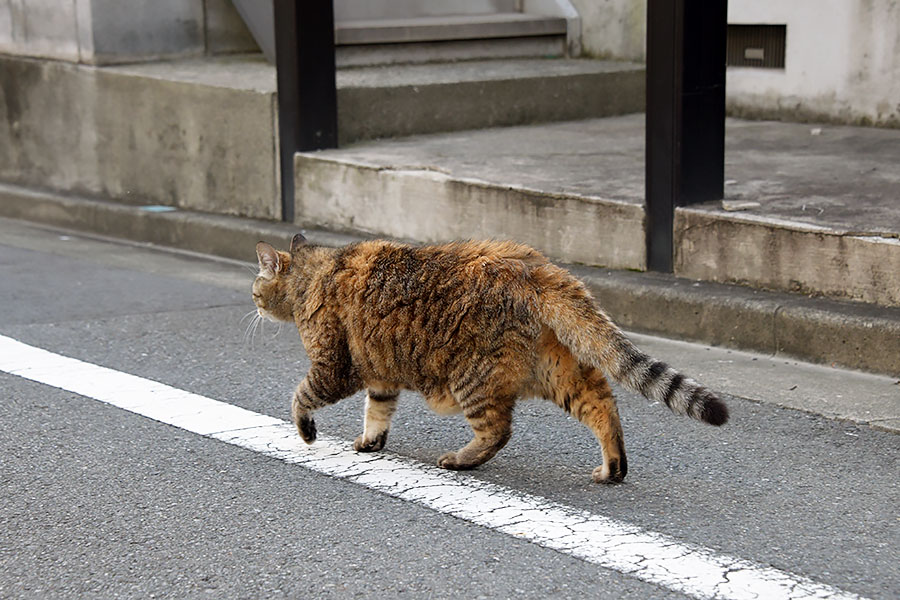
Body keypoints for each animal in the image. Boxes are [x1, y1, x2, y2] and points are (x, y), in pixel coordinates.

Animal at [250, 232, 728, 486]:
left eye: (255, 289)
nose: (253, 305)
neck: (314, 272)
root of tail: (539, 267)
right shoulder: (381, 374)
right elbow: (378, 410)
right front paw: (371, 442)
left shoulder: (334, 367)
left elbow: (301, 396)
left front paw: (307, 432)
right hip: (560, 370)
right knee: (603, 406)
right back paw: (613, 467)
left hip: (475, 378)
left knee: (498, 431)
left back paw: (460, 459)